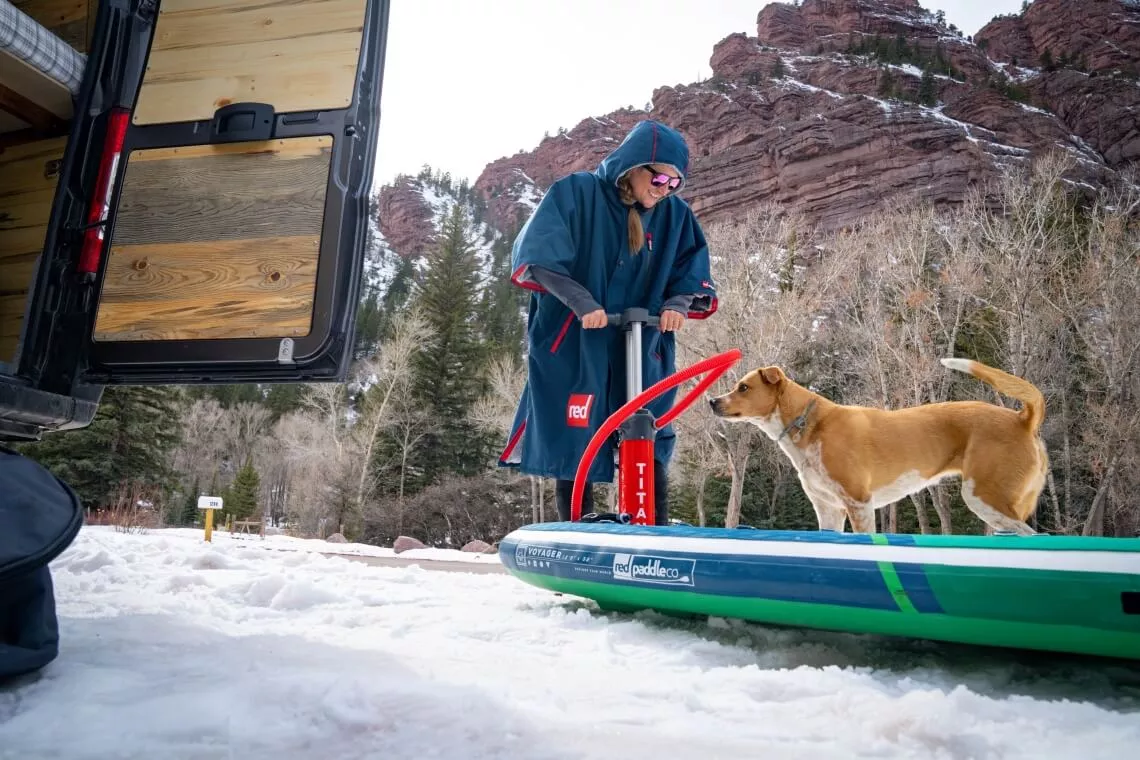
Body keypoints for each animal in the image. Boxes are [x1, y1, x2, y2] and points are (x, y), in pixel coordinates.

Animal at [706, 357, 1044, 533]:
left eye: (743, 387)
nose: (711, 401)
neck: (807, 423)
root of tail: (1022, 418)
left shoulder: (858, 504)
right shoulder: (828, 509)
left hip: (984, 497)